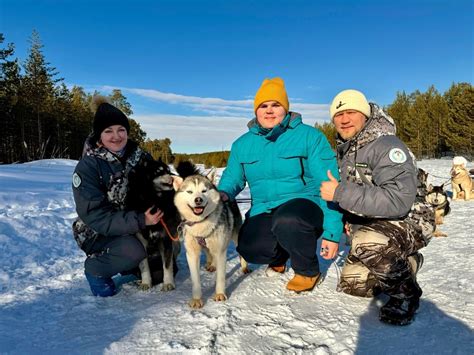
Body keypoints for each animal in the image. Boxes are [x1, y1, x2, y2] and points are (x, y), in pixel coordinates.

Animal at [127, 159, 181, 292]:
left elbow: (167, 264)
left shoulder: (165, 238)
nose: (174, 177)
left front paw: (168, 283)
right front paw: (146, 283)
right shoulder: (141, 242)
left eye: (168, 170)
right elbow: (144, 266)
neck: (154, 201)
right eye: (159, 171)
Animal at [173, 163, 248, 310]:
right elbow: (195, 280)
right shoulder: (192, 254)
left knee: (240, 251)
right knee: (209, 253)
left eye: (204, 191)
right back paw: (211, 264)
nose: (198, 200)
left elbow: (220, 277)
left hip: (236, 236)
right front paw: (197, 299)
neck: (201, 223)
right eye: (189, 192)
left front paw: (219, 294)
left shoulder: (221, 251)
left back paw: (244, 267)